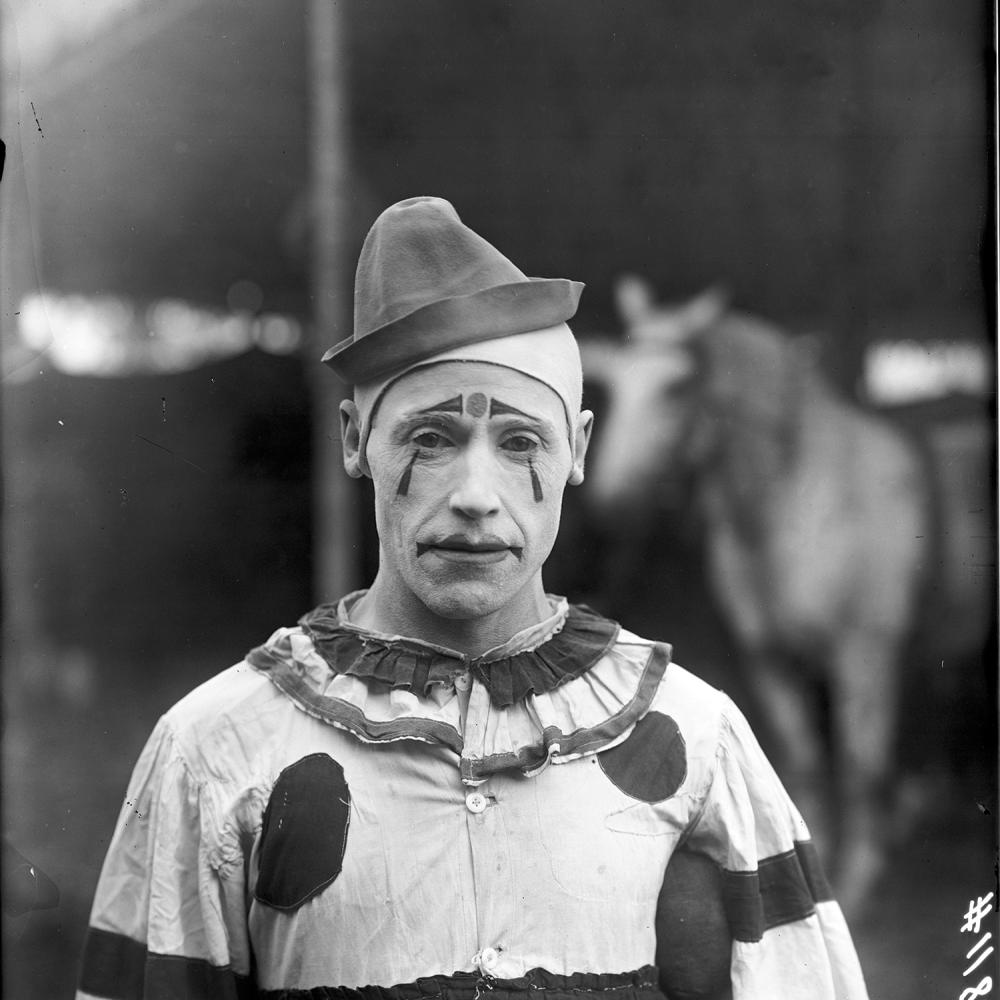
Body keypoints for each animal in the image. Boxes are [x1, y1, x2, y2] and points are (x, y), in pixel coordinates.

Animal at [584, 274, 932, 916]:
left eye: (677, 387)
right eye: (617, 384)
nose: (608, 506)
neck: (793, 499)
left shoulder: (865, 652)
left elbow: (858, 765)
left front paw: (859, 878)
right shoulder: (770, 659)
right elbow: (806, 762)